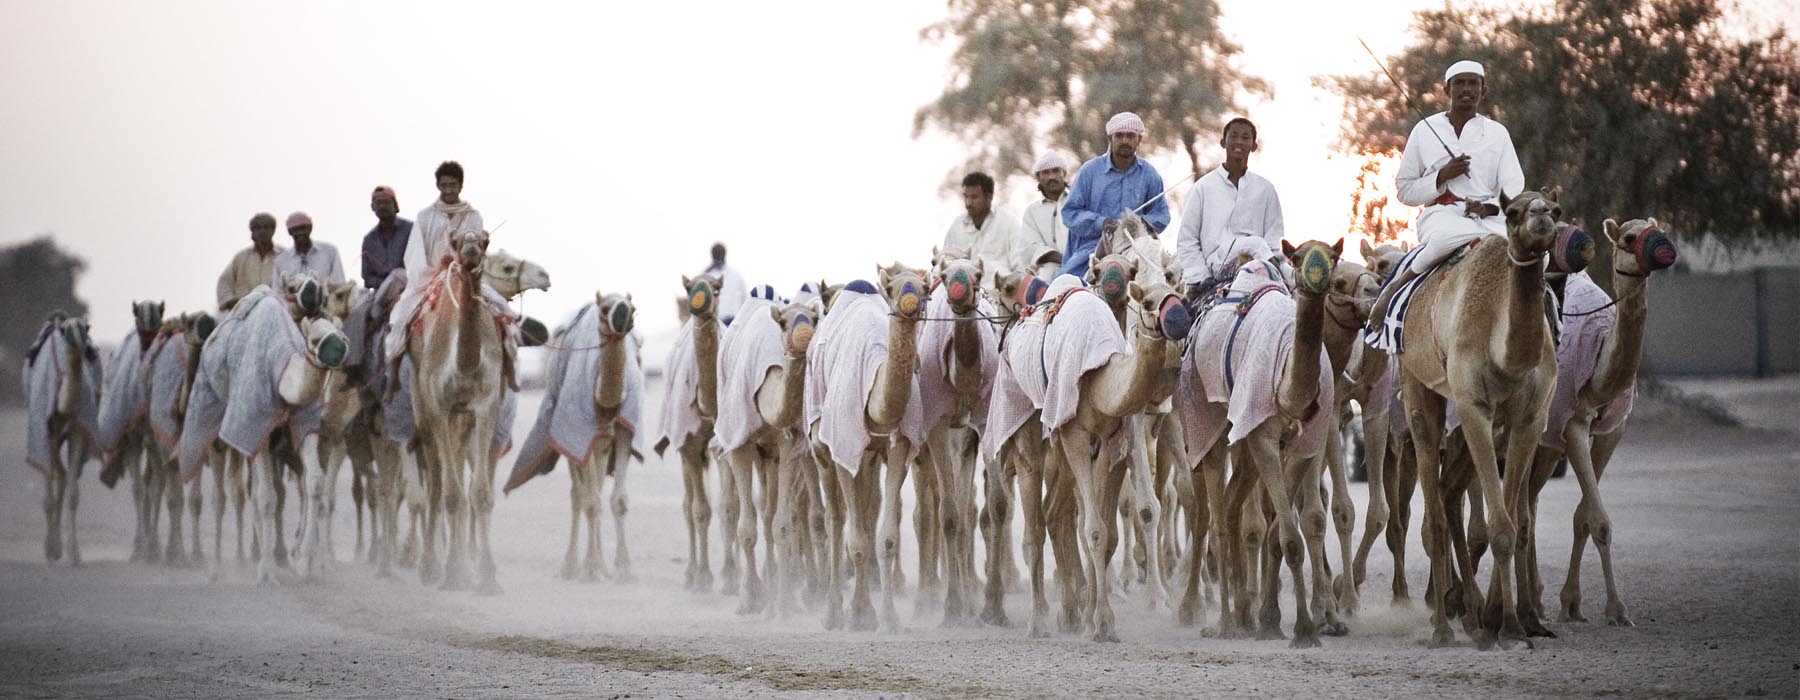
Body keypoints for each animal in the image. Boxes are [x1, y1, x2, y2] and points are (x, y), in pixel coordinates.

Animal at [22, 313, 102, 565]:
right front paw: (51, 550)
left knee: (65, 474)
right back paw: (52, 548)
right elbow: (47, 497)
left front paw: (74, 554)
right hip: (52, 436)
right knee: (59, 473)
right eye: (67, 331)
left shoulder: (77, 429)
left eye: (87, 328)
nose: (81, 345)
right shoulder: (46, 429)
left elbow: (74, 495)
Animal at [412, 227, 511, 590]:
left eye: (485, 239)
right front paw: (452, 574)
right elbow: (450, 494)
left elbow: (479, 493)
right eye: (455, 241)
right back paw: (430, 566)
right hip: (423, 407)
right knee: (436, 485)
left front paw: (487, 577)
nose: (470, 251)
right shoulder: (439, 407)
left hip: (463, 419)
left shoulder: (485, 406)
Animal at [813, 264, 928, 629]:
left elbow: (885, 536)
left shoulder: (898, 446)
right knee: (836, 520)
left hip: (868, 456)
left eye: (925, 288)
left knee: (864, 512)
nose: (910, 303)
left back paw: (862, 608)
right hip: (822, 447)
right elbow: (856, 539)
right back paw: (834, 612)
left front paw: (887, 619)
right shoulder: (842, 445)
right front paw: (850, 618)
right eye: (891, 288)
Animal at [1382, 188, 1569, 647]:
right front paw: (1503, 626)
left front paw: (1511, 621)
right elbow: (1499, 526)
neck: (1508, 360)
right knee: (1433, 513)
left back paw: (1470, 613)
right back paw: (1442, 627)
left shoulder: (1529, 417)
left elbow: (1514, 523)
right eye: (1514, 211)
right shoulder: (1474, 408)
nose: (1542, 220)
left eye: (1558, 209)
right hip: (1420, 389)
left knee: (1451, 495)